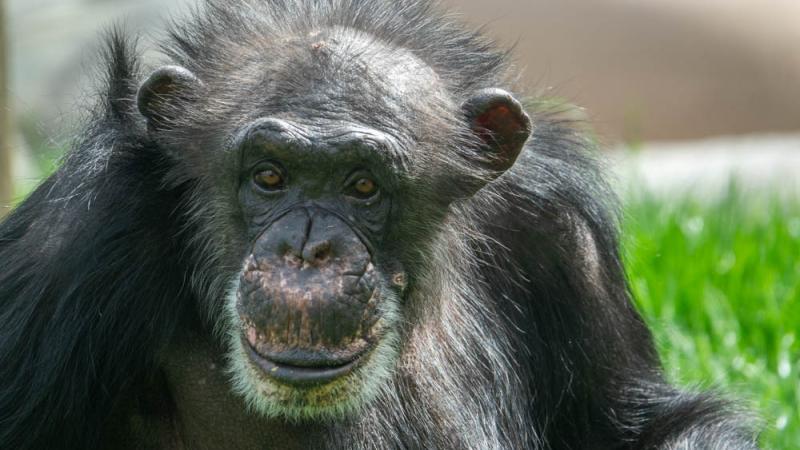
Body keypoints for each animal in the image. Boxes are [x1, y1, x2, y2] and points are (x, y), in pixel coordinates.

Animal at [0, 0, 756, 450]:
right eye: (269, 176)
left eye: (363, 184)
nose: (309, 248)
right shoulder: (73, 242)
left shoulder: (564, 238)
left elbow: (645, 427)